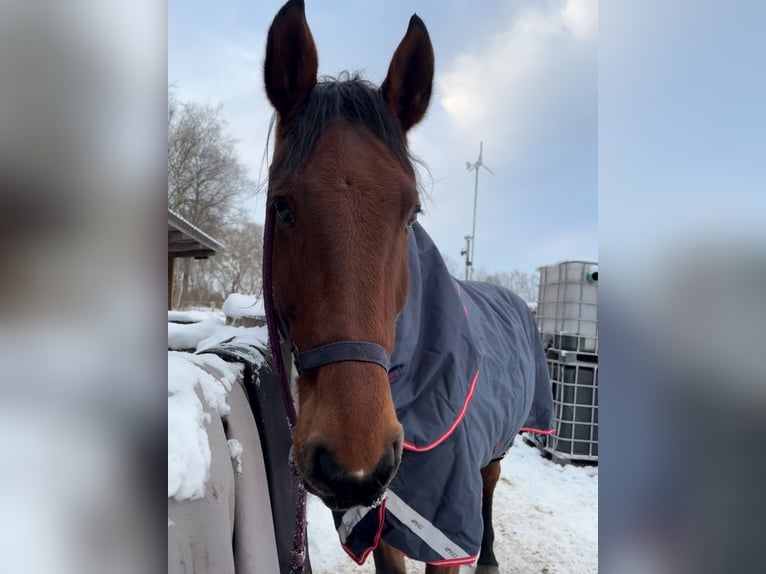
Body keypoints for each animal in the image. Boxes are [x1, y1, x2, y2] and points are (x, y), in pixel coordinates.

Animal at [262, 2, 555, 573]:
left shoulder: (445, 532)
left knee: (491, 484)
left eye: (411, 214)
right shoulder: (382, 520)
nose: (353, 463)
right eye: (281, 207)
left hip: (498, 445)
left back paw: (490, 555)